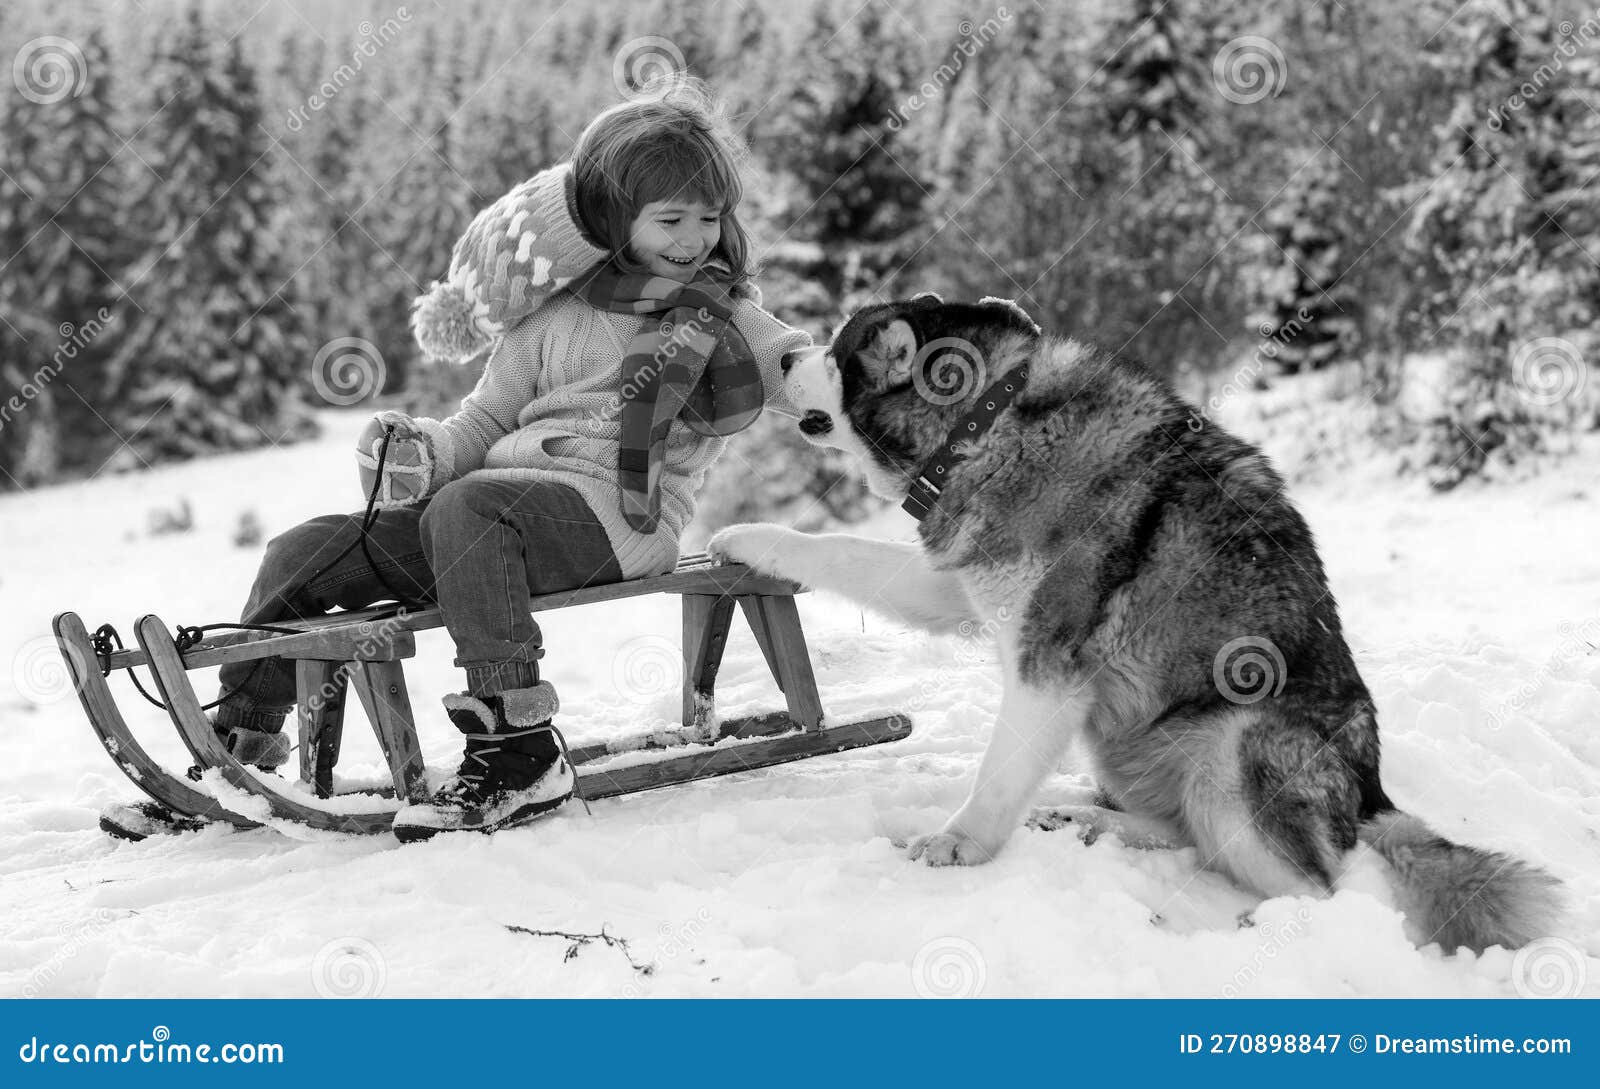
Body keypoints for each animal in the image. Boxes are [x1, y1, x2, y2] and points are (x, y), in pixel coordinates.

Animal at [713, 292, 1561, 946]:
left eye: (838, 351)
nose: (784, 357)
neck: (988, 426)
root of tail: (1372, 787)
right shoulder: (952, 586)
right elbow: (837, 550)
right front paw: (749, 539)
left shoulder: (1048, 668)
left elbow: (996, 775)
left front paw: (960, 842)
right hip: (1122, 738)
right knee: (1183, 832)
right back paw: (1083, 820)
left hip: (1232, 751)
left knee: (1319, 883)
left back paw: (1263, 926)